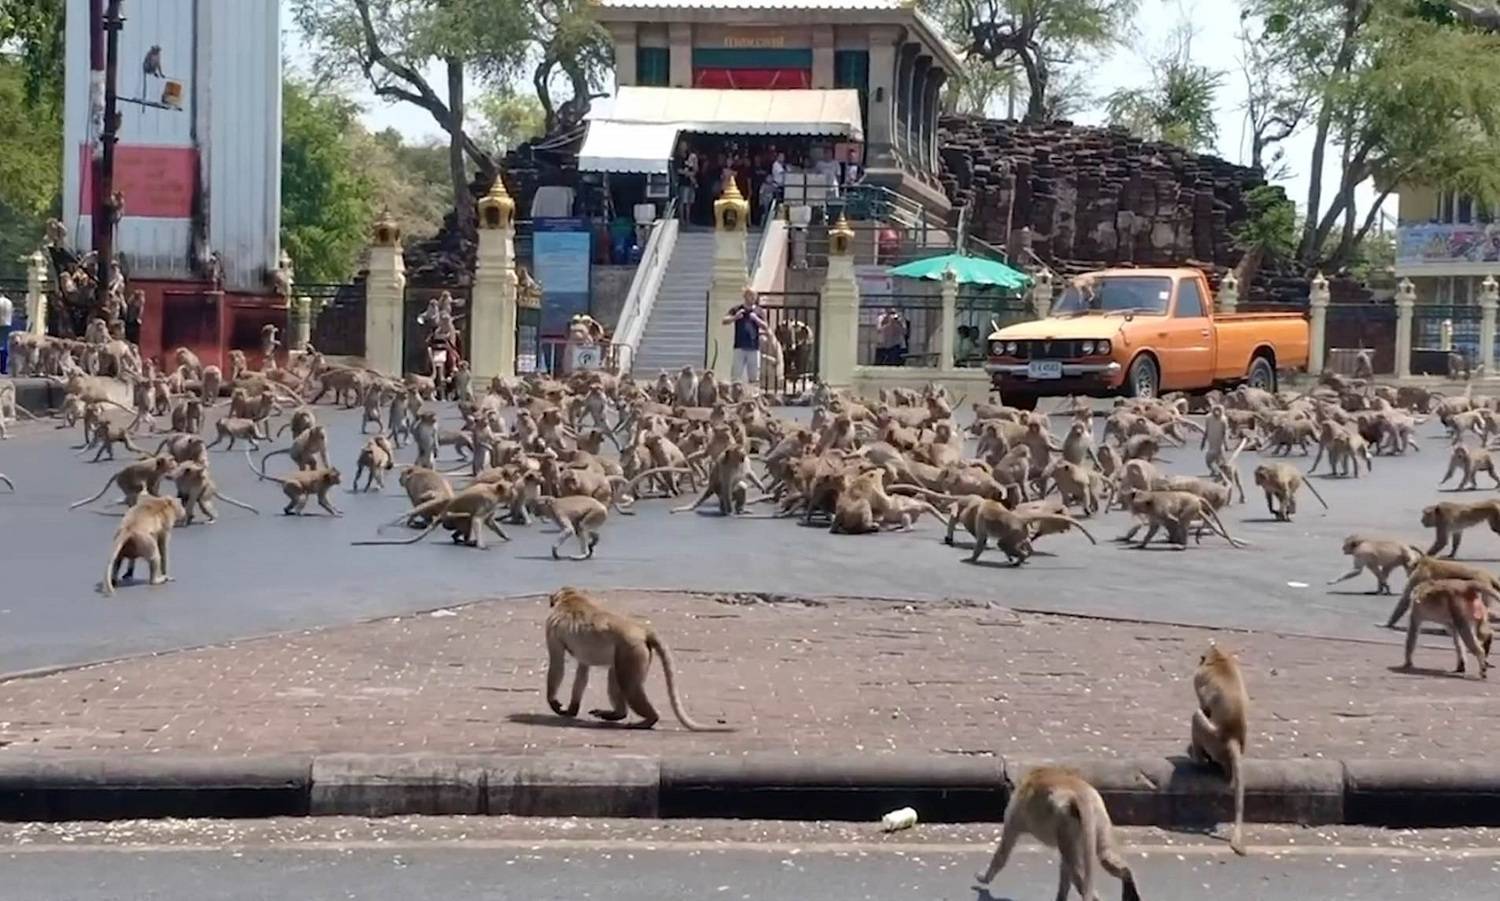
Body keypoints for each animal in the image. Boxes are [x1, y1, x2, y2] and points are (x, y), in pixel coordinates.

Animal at [546, 587, 726, 728]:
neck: (571, 597)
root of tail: (641, 629)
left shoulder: (551, 627)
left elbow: (557, 663)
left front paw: (553, 702)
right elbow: (583, 668)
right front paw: (572, 709)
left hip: (631, 650)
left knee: (629, 685)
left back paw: (650, 719)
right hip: (632, 652)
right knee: (616, 676)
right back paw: (618, 714)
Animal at [978, 764, 1140, 899]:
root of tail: (1080, 793)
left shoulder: (1015, 814)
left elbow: (1003, 851)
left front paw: (984, 878)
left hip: (1065, 819)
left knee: (1075, 870)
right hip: (1097, 814)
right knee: (1104, 856)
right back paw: (1126, 878)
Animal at [1188, 641, 1248, 851]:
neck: (1219, 657)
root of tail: (1232, 738)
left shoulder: (1198, 677)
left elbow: (1203, 706)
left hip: (1212, 738)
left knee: (1197, 715)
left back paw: (1198, 759)